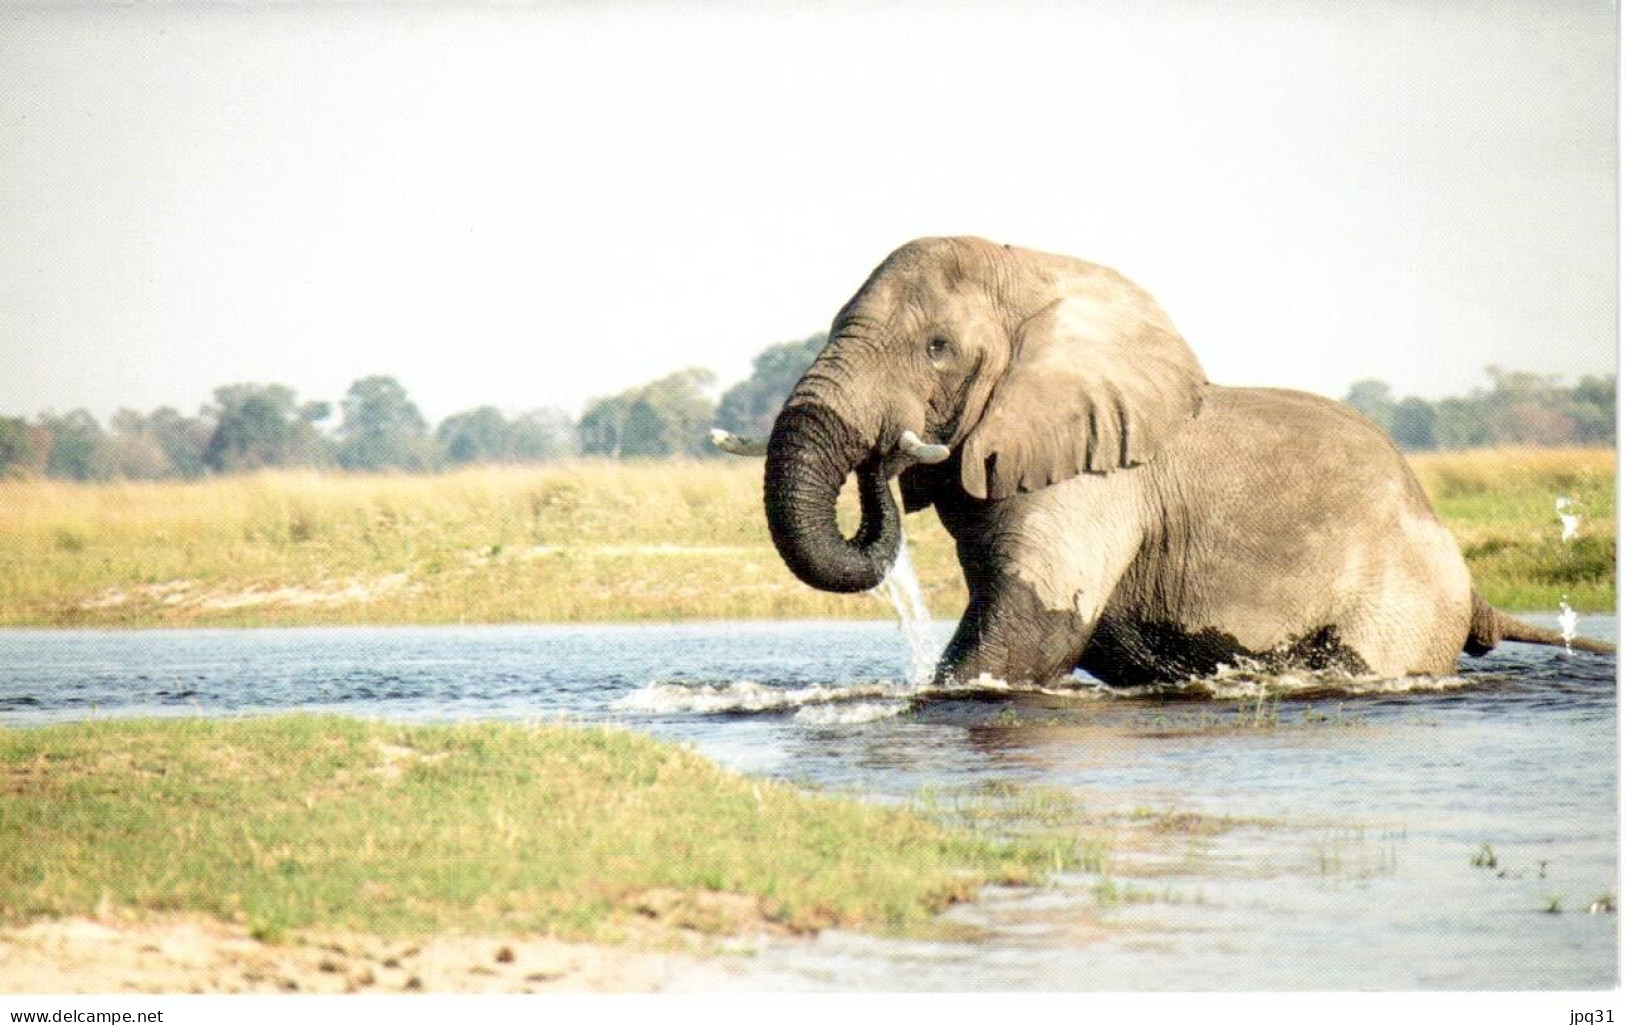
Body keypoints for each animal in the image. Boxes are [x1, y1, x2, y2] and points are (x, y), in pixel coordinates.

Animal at [715, 238, 1612, 688]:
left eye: (936, 348)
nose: (889, 453)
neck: (1040, 277)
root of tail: (1474, 591)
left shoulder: (1096, 481)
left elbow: (1031, 632)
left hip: (1401, 598)